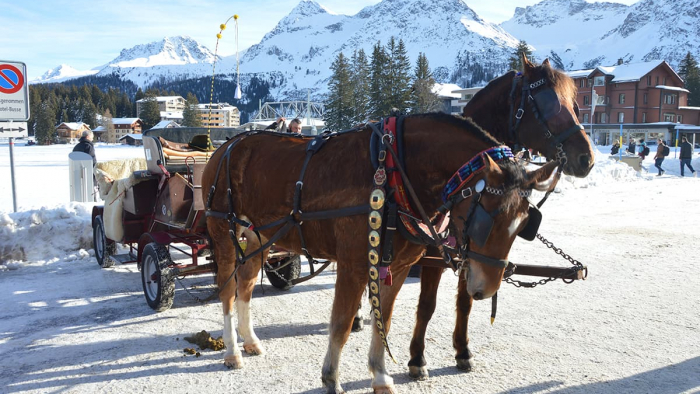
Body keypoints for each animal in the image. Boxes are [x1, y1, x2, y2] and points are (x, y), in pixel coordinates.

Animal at [201, 112, 556, 392]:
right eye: (486, 217)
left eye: (525, 223)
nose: (485, 289)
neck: (395, 174)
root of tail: (227, 145)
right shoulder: (353, 265)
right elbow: (342, 324)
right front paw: (331, 379)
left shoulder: (396, 267)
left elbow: (383, 320)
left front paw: (381, 377)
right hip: (223, 233)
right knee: (228, 291)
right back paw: (232, 351)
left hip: (259, 235)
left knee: (246, 285)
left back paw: (249, 340)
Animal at [408, 56, 592, 378]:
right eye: (548, 103)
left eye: (575, 104)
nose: (587, 158)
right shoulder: (434, 252)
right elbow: (427, 305)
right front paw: (417, 357)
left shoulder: (471, 252)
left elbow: (465, 301)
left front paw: (462, 350)